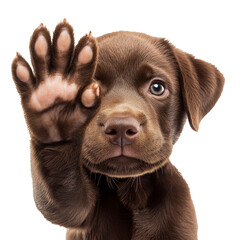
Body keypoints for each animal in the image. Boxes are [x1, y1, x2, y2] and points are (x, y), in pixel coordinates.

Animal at [11, 21, 225, 240]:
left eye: (157, 87)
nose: (121, 127)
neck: (132, 191)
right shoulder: (77, 209)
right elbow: (62, 197)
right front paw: (55, 107)